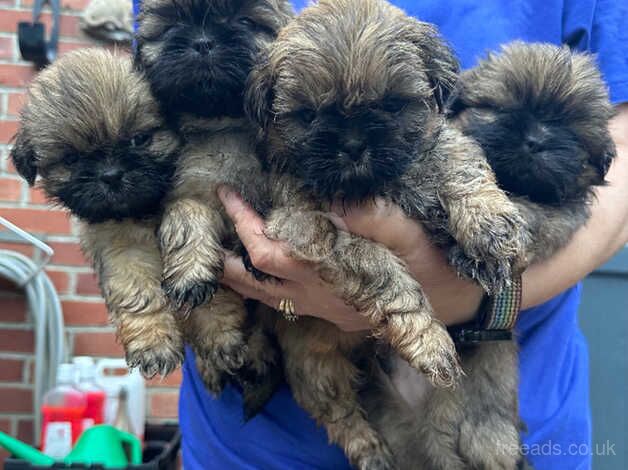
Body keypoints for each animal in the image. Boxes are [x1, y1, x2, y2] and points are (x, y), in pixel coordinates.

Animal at [10, 48, 186, 378]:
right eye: (71, 159)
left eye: (139, 139)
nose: (111, 174)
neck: (142, 210)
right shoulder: (122, 247)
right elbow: (138, 293)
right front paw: (154, 342)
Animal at [135, 0, 292, 410]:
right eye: (173, 24)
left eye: (245, 21)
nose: (204, 42)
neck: (223, 125)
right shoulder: (183, 191)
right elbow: (188, 214)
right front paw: (191, 274)